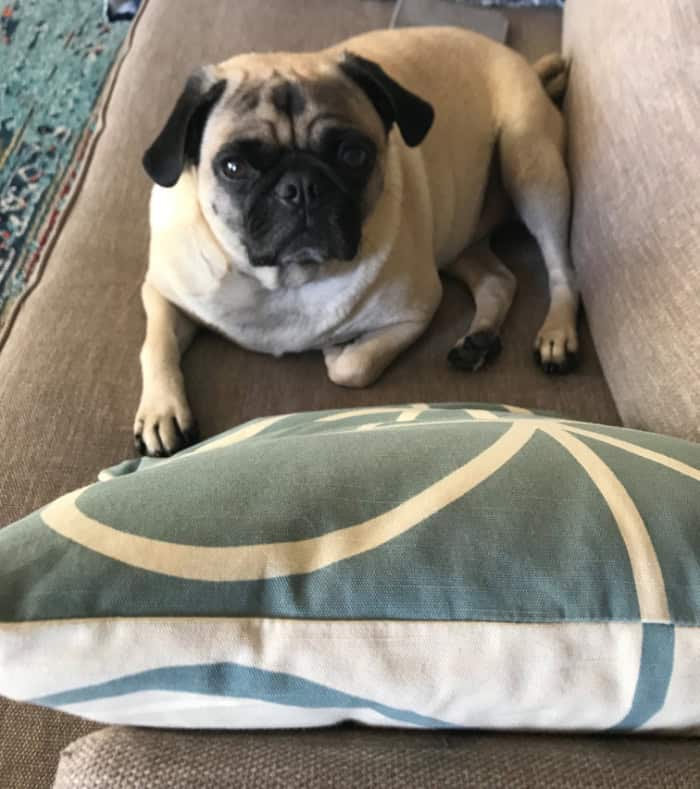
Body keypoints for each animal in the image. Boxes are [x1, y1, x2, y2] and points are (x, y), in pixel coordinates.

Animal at [134, 27, 579, 457]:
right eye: (232, 167)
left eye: (353, 155)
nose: (300, 187)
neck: (285, 280)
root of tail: (528, 67)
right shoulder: (164, 291)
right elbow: (156, 343)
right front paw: (161, 412)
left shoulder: (414, 312)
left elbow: (352, 368)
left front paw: (336, 350)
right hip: (459, 235)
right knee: (498, 279)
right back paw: (480, 339)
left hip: (530, 165)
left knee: (561, 269)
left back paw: (557, 334)